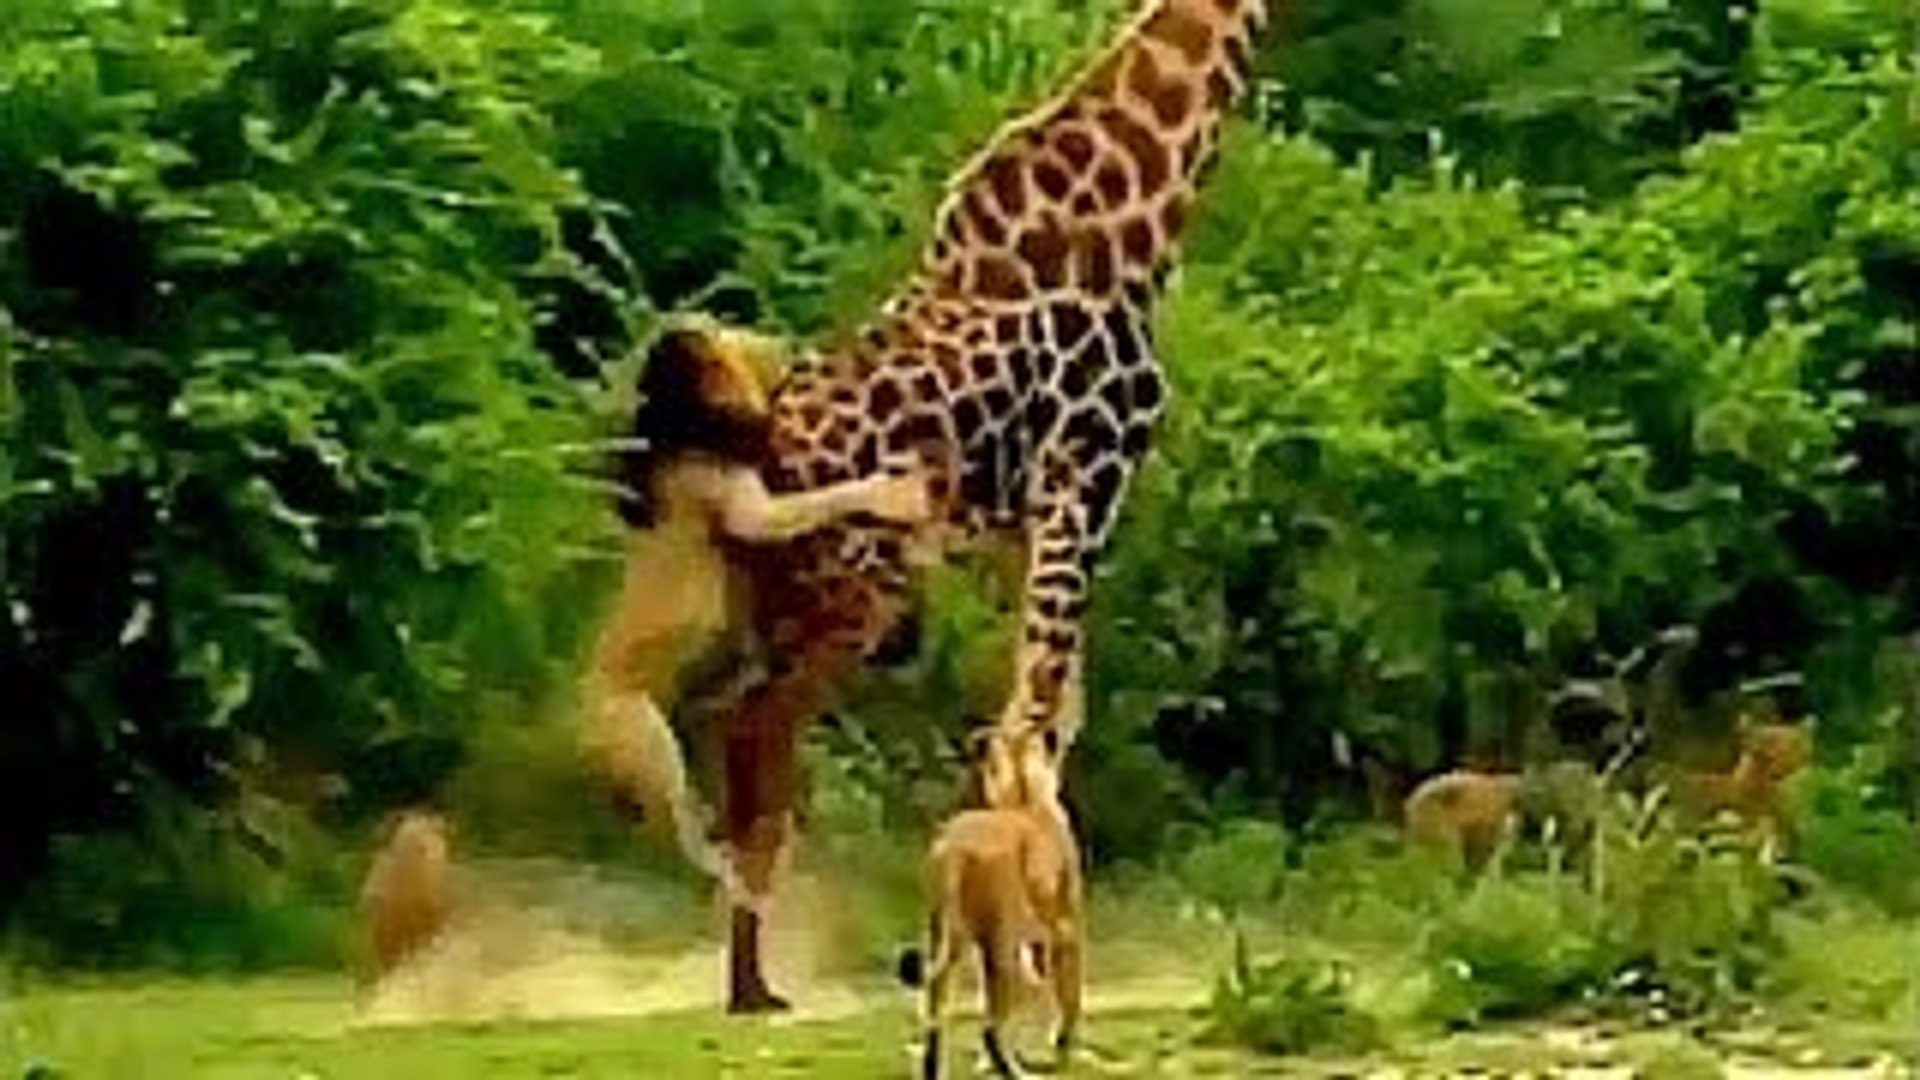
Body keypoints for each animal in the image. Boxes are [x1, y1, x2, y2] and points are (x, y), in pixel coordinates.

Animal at [684, 0, 1273, 1012]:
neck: (1140, 213)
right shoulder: (1087, 474)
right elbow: (1029, 720)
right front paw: (1040, 951)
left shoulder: (1023, 519)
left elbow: (1047, 715)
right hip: (857, 586)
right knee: (758, 727)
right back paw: (753, 984)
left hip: (795, 596)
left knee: (746, 729)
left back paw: (751, 973)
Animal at [898, 724, 1084, 1079]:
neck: (1022, 792)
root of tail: (954, 847)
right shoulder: (1064, 927)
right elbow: (1067, 993)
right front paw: (1063, 1050)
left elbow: (1037, 989)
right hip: (999, 939)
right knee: (989, 1026)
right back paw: (1017, 1072)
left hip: (943, 934)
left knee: (936, 1008)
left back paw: (934, 1069)